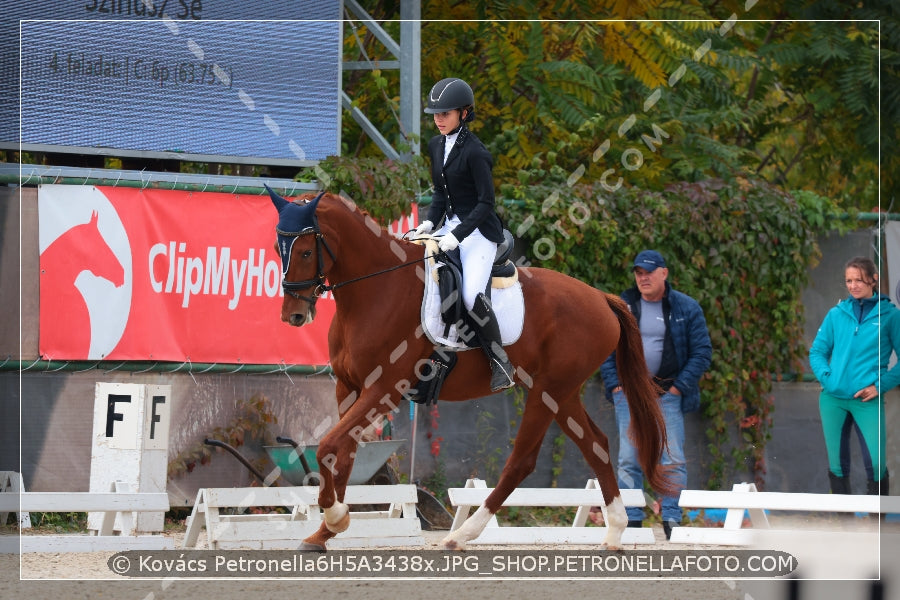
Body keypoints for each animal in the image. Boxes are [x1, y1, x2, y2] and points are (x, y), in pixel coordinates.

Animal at [264, 190, 672, 552]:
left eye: (305, 251)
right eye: (278, 249)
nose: (293, 315)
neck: (376, 289)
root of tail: (601, 298)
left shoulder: (384, 389)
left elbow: (329, 445)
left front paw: (337, 518)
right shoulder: (348, 387)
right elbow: (341, 453)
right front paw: (324, 532)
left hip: (547, 391)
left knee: (522, 461)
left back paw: (461, 535)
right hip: (563, 392)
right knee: (597, 446)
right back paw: (615, 533)